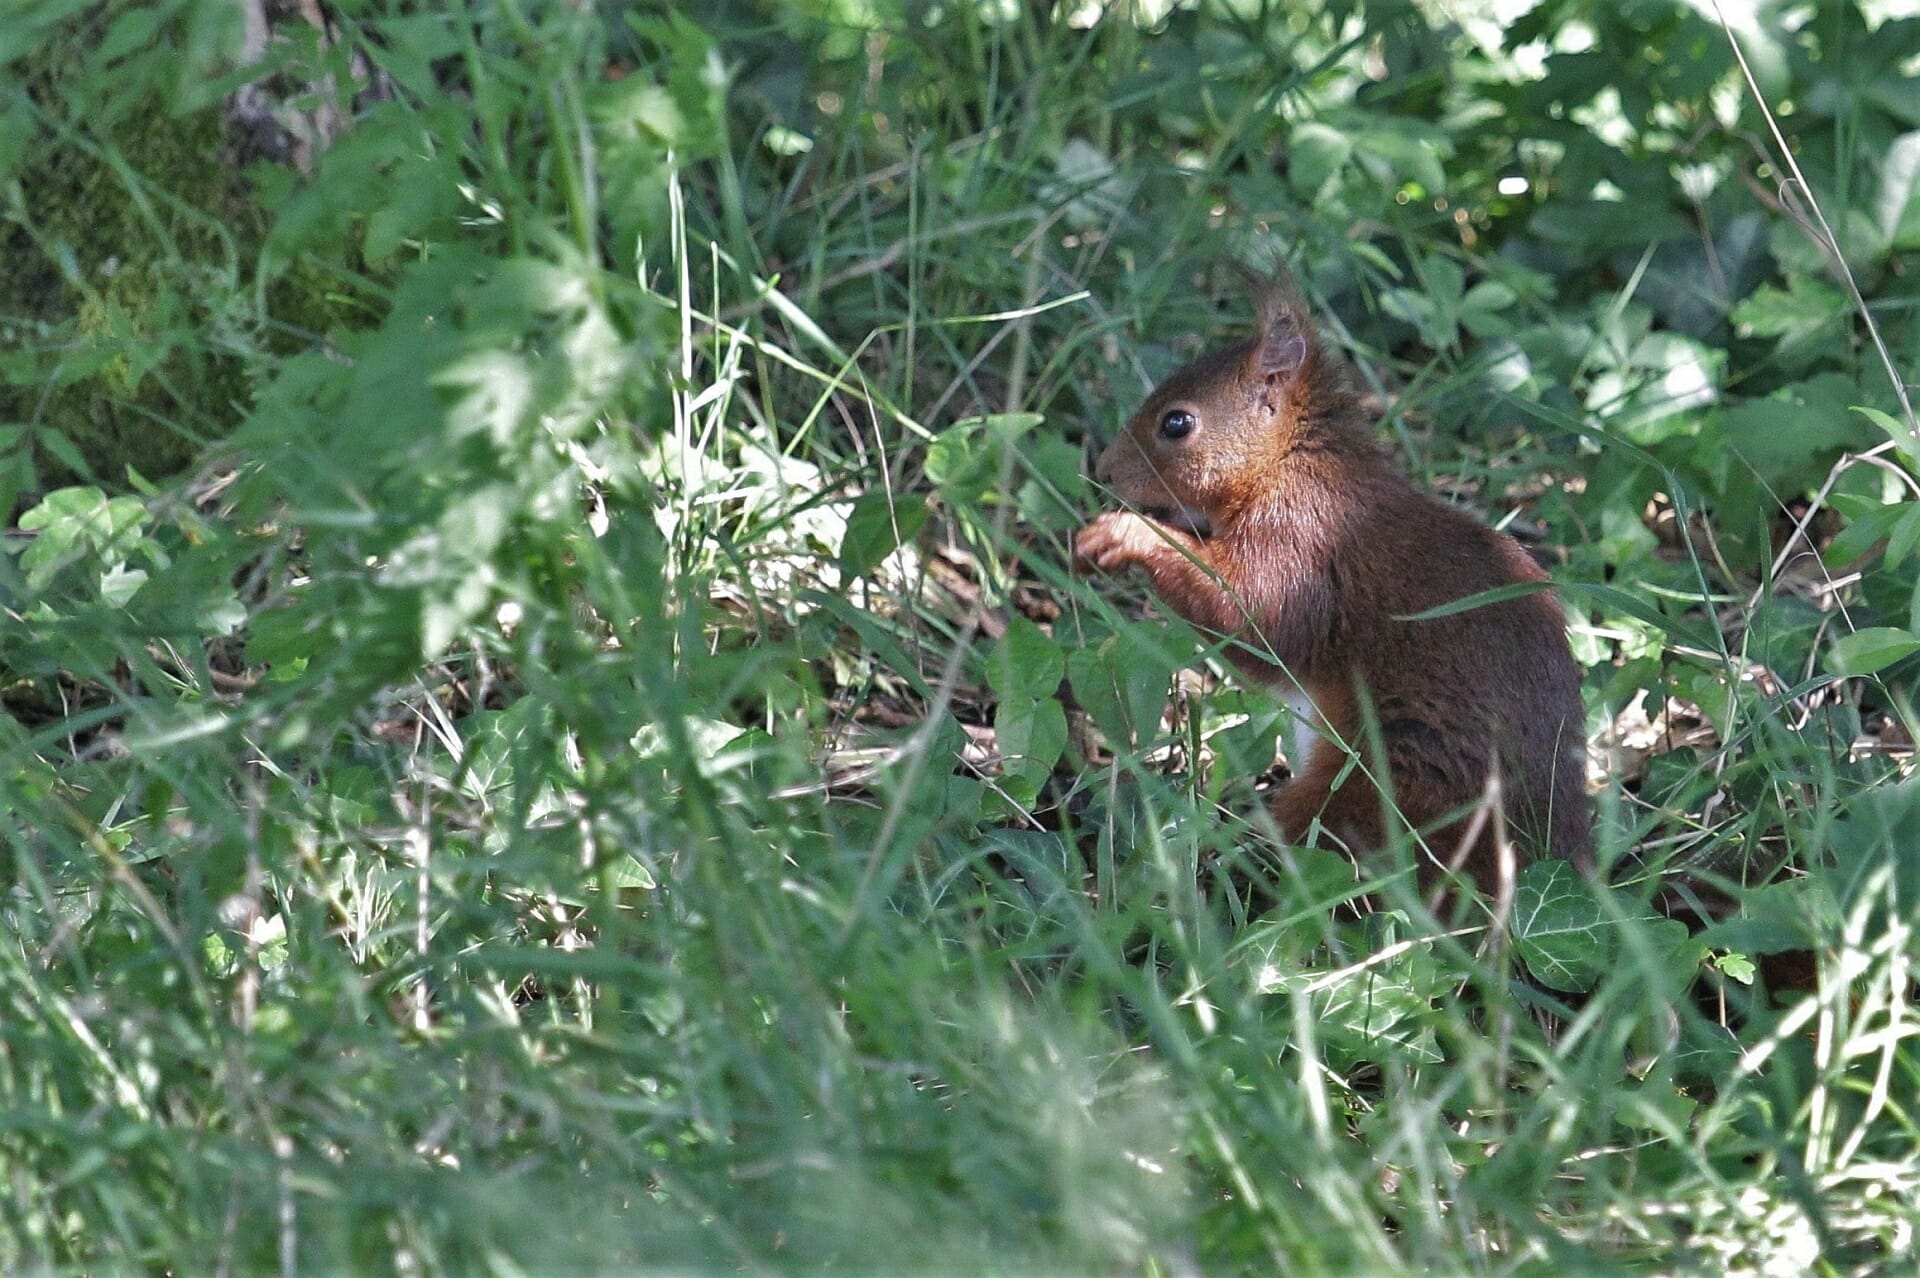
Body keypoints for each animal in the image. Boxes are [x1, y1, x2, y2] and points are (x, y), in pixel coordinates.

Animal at [1082, 268, 1589, 886]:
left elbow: (1254, 621)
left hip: (1384, 792)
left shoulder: (1302, 544)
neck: (1291, 464)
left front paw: (1129, 535)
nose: (1103, 470)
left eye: (1177, 422)